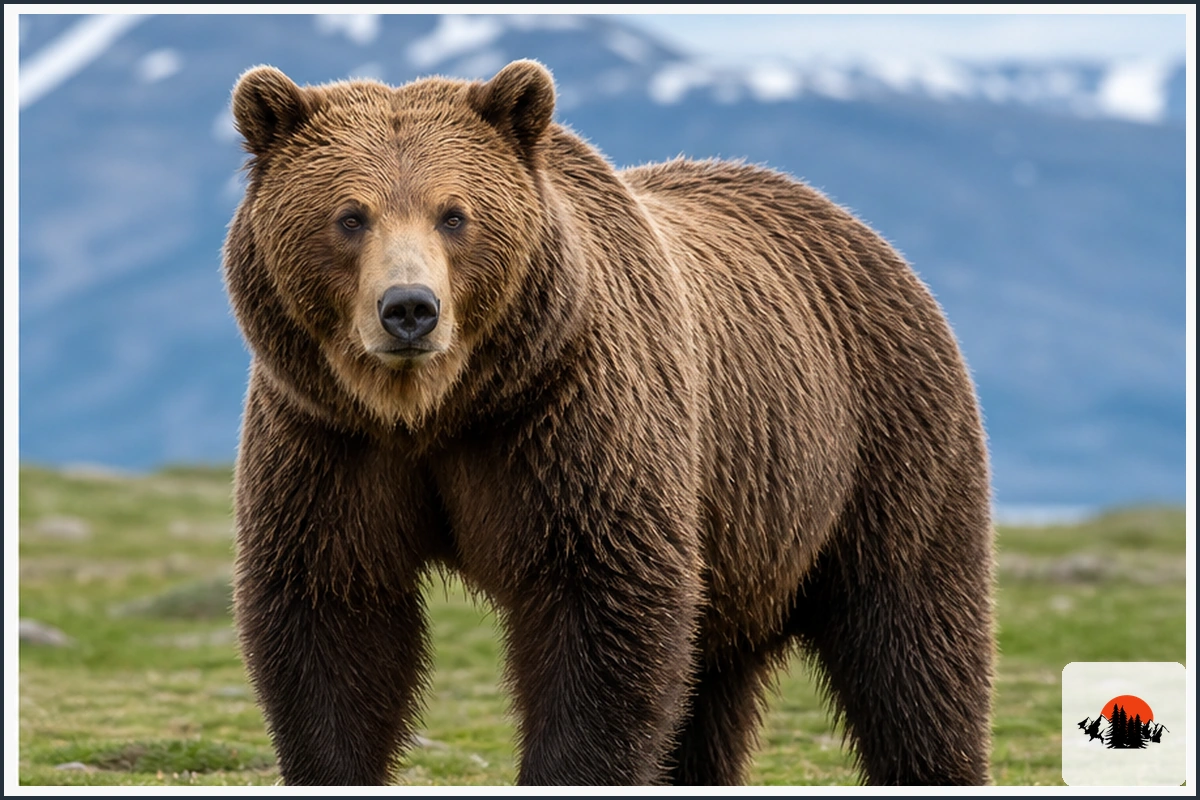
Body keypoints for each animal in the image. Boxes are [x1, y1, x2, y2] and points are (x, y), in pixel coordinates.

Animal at [223, 59, 995, 786]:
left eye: (454, 214)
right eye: (351, 216)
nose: (410, 308)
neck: (438, 411)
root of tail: (859, 227)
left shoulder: (572, 424)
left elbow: (603, 612)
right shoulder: (328, 440)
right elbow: (332, 616)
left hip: (883, 445)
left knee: (911, 639)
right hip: (743, 527)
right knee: (712, 684)